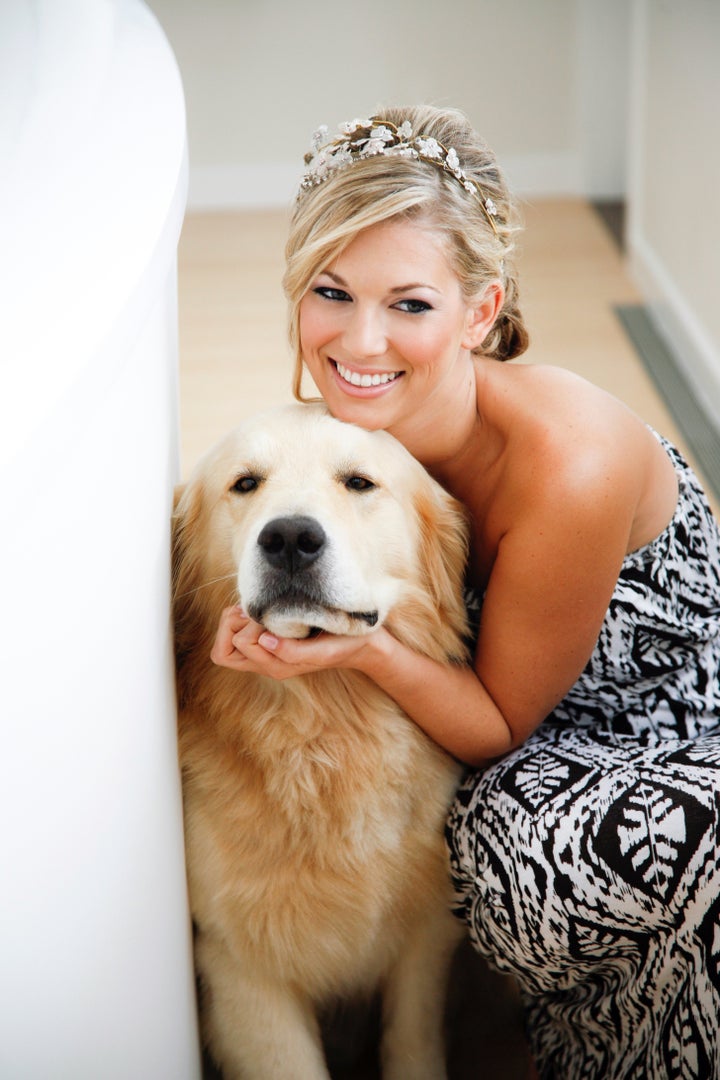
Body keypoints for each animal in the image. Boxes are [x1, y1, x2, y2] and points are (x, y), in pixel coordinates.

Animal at [171, 401, 470, 1075]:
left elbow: (412, 1042)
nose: (288, 539)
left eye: (358, 482)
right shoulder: (240, 969)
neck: (319, 731)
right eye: (245, 483)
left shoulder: (425, 935)